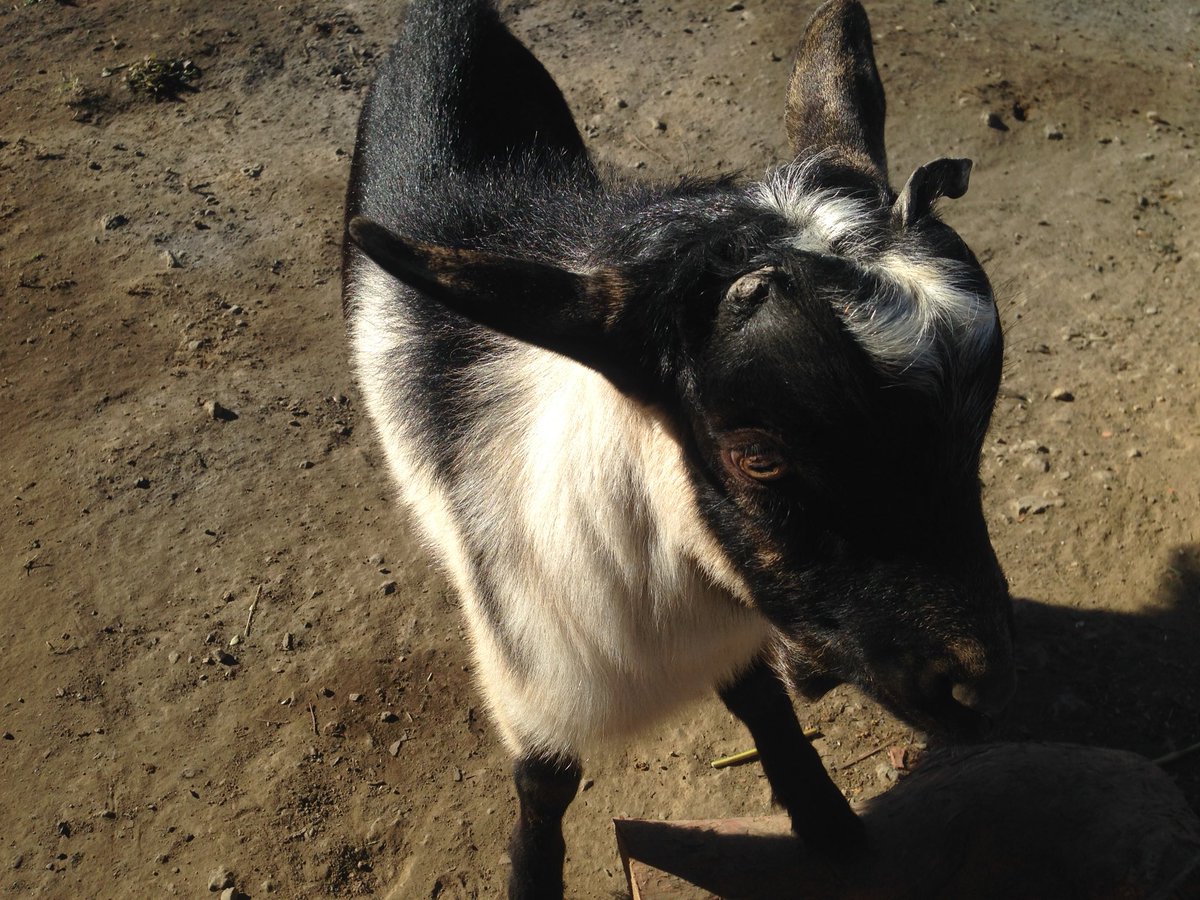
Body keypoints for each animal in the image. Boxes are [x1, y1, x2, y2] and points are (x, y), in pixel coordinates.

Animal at [342, 1, 1016, 897]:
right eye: (758, 455)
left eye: (977, 418)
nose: (983, 687)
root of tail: (446, 21)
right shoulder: (531, 682)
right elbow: (545, 790)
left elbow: (760, 699)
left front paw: (825, 819)